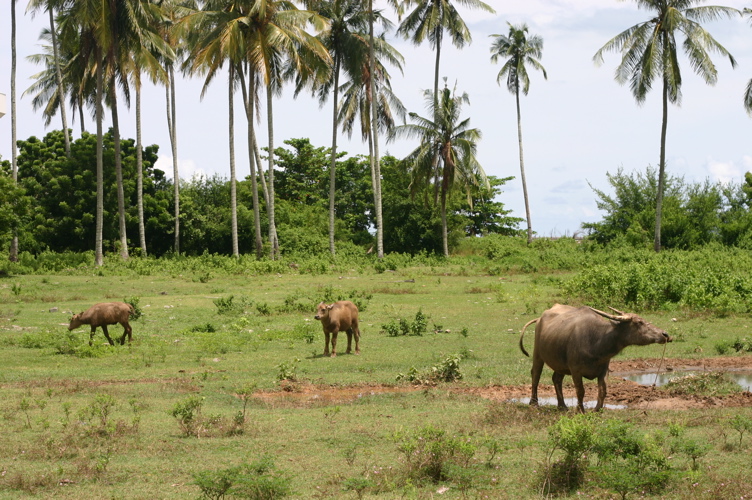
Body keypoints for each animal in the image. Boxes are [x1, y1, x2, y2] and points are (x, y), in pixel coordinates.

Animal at [520, 302, 672, 412]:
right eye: (638, 322)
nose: (665, 335)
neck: (596, 342)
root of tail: (540, 319)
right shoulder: (575, 371)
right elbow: (580, 391)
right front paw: (580, 410)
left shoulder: (604, 370)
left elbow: (603, 390)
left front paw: (597, 410)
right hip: (538, 354)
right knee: (535, 374)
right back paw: (534, 403)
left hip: (560, 363)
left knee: (556, 379)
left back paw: (562, 406)